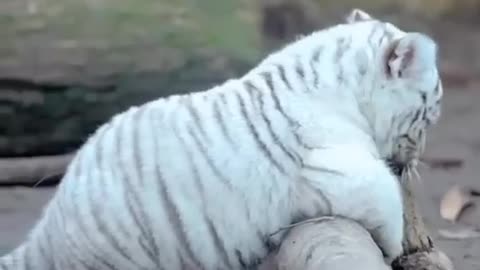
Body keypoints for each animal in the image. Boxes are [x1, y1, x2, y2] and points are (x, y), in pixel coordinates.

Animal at [0, 8, 442, 270]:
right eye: (430, 112)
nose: (416, 158)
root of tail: (49, 231)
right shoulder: (337, 171)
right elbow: (384, 200)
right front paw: (393, 249)